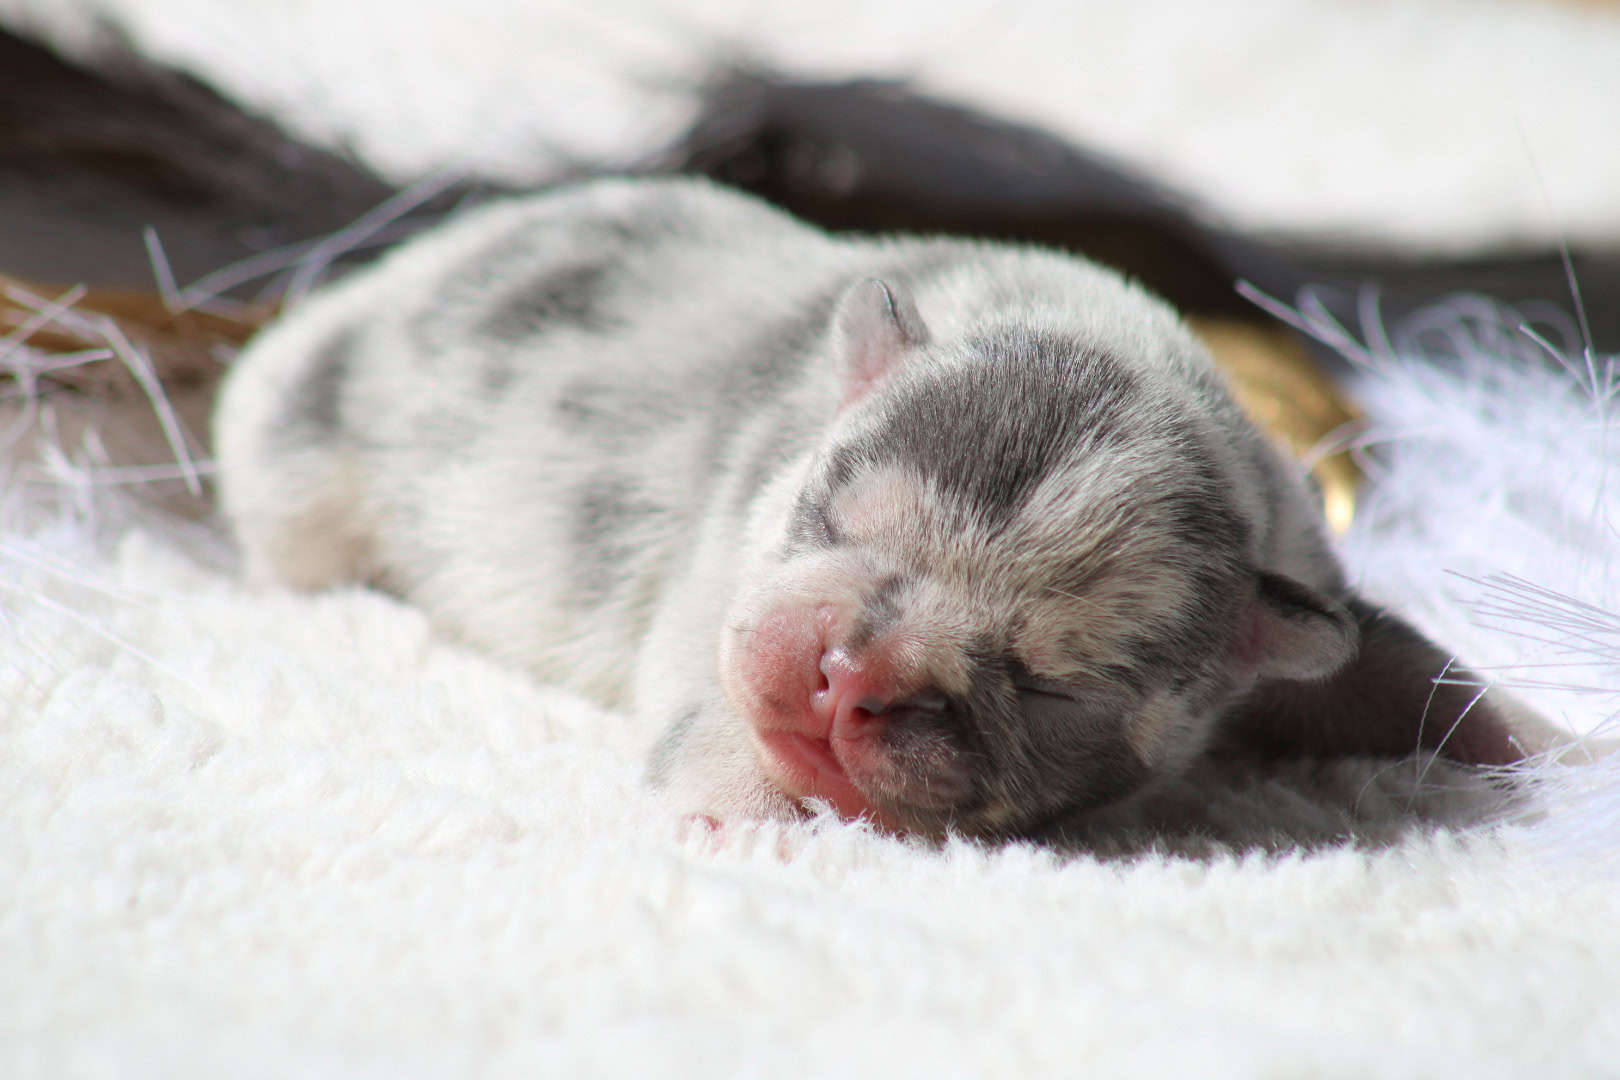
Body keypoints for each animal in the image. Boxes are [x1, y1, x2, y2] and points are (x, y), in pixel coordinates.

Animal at [215, 175, 1529, 841]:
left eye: (1050, 686)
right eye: (834, 519)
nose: (853, 674)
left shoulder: (1309, 577)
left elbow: (1408, 669)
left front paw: (1539, 743)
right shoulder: (720, 578)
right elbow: (710, 705)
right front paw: (742, 816)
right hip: (295, 452)